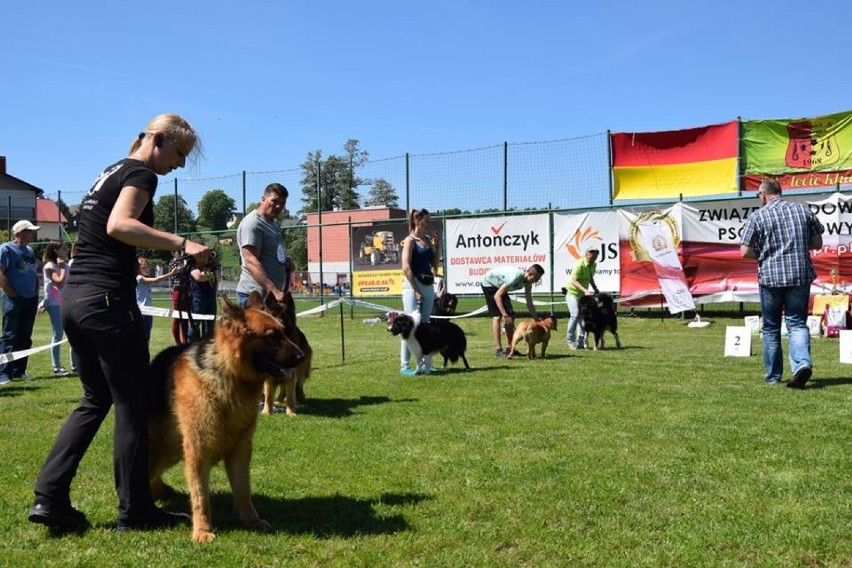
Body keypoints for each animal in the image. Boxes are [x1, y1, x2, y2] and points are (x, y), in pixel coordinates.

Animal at [148, 292, 304, 540]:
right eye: (272, 336)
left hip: (170, 450)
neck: (229, 375)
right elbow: (201, 497)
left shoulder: (241, 451)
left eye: (284, 330)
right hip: (163, 448)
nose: (302, 355)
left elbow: (244, 491)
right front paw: (202, 531)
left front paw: (251, 520)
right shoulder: (198, 452)